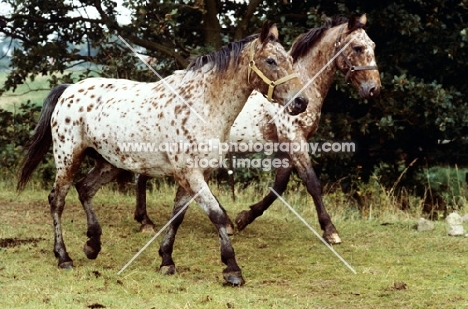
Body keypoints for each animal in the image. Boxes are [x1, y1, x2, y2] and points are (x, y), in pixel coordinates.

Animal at [16, 22, 308, 286]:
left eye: (289, 60)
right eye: (270, 60)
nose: (301, 102)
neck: (201, 106)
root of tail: (68, 89)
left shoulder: (197, 174)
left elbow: (177, 216)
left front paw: (167, 261)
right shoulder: (189, 173)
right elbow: (216, 215)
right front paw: (232, 270)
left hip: (109, 163)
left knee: (85, 189)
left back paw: (92, 245)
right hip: (68, 157)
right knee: (57, 200)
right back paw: (64, 257)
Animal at [131, 13, 380, 243]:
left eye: (373, 46)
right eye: (358, 47)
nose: (373, 89)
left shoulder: (287, 146)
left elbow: (279, 185)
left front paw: (244, 218)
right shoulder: (294, 139)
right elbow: (312, 183)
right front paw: (330, 231)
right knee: (144, 176)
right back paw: (146, 221)